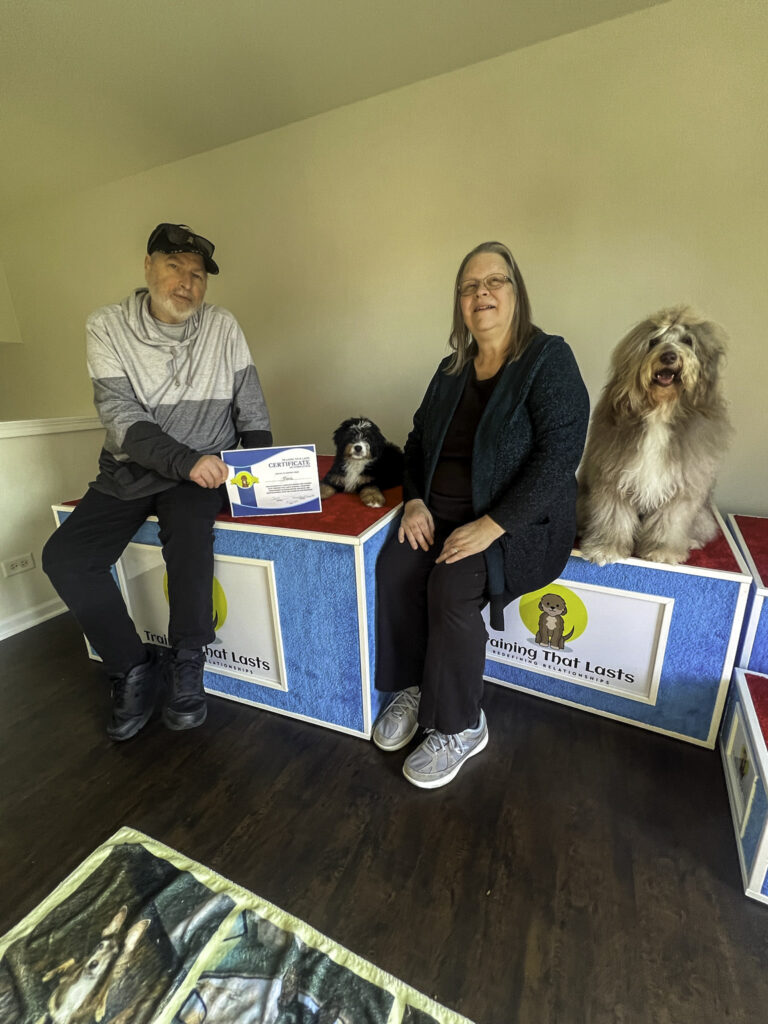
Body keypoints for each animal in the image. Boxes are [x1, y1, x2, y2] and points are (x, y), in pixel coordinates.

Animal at [577, 305, 733, 569]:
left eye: (687, 341)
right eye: (654, 341)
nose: (669, 356)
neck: (660, 410)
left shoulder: (681, 488)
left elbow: (669, 520)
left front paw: (663, 551)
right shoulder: (614, 478)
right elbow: (613, 516)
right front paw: (606, 548)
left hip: (702, 515)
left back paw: (690, 541)